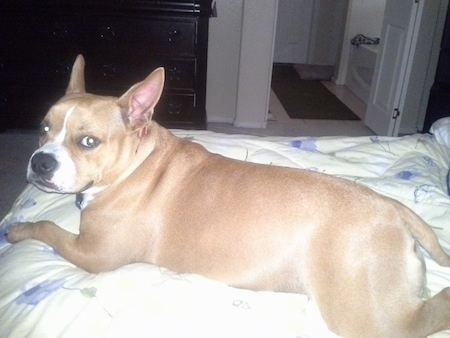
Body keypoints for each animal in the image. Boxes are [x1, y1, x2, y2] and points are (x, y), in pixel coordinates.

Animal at [5, 54, 450, 336]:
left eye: (89, 142)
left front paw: (18, 230)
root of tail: (394, 210)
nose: (40, 162)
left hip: (369, 314)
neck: (135, 162)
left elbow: (47, 226)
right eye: (43, 129)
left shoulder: (92, 255)